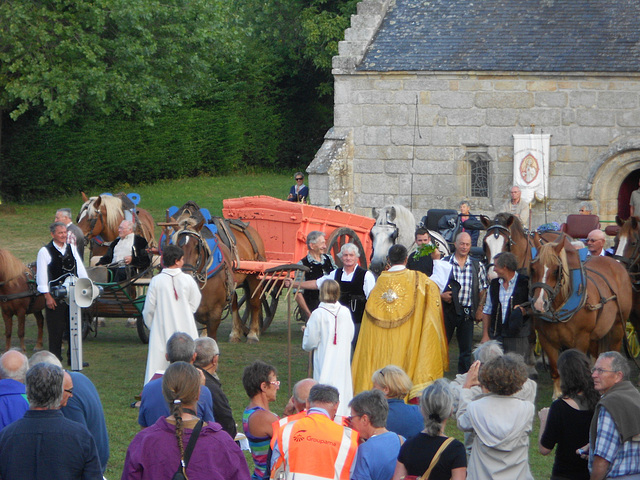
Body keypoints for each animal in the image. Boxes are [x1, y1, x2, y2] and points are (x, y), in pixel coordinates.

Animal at [165, 203, 268, 344]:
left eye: (197, 245)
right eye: (176, 246)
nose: (187, 273)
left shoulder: (215, 310)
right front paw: (203, 336)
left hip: (253, 277)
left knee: (254, 301)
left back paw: (252, 334)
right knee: (235, 301)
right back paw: (235, 333)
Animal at [528, 234, 632, 396]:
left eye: (556, 270)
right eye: (532, 269)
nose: (539, 304)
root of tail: (615, 263)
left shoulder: (581, 339)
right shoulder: (547, 340)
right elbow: (556, 372)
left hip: (618, 327)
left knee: (613, 352)